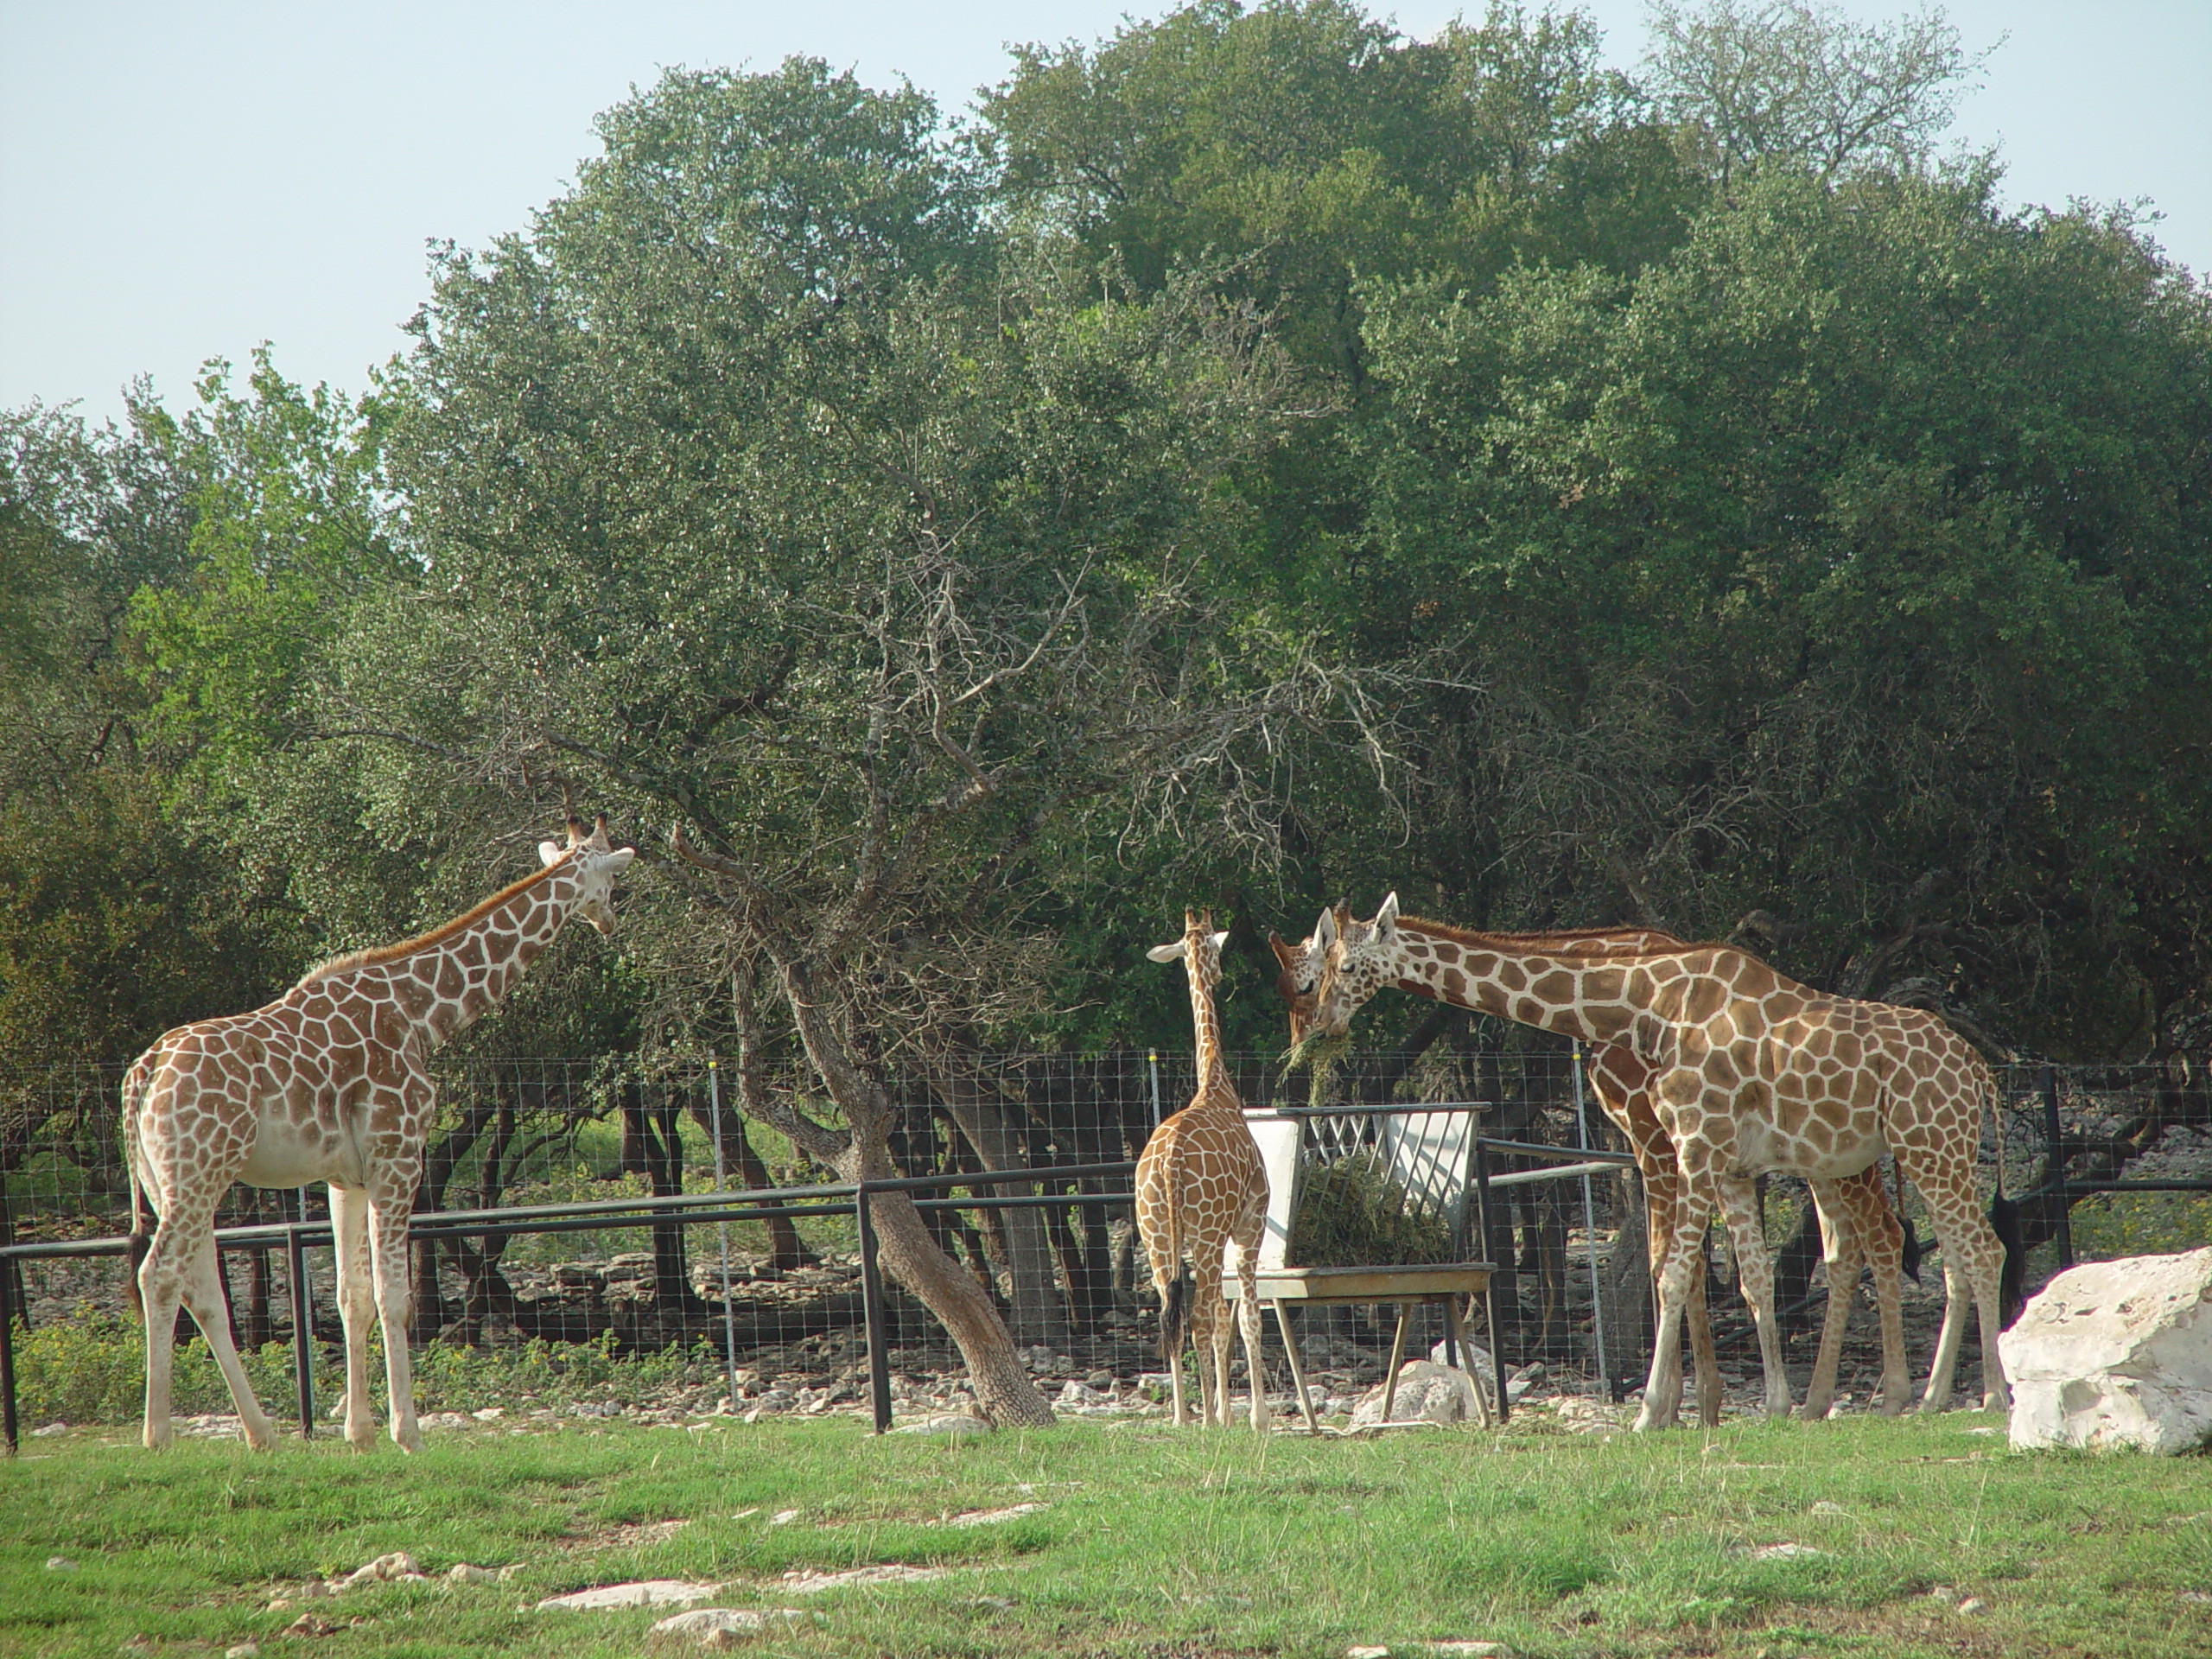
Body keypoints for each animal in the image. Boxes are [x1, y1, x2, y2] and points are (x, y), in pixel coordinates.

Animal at [126, 823, 637, 1451]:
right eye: (613, 879)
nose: (612, 920)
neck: (421, 1014)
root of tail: (142, 1074)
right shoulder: (400, 1157)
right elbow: (395, 1298)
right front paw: (407, 1431)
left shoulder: (346, 1178)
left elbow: (353, 1297)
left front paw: (360, 1432)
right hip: (200, 1170)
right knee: (159, 1275)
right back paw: (157, 1436)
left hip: (174, 1182)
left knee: (200, 1290)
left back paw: (261, 1434)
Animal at [1132, 915, 1274, 1433]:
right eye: (1217, 950)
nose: (1218, 974)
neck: (1215, 1084)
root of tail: (1170, 1160)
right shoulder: (1250, 1223)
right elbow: (1245, 1319)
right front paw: (1253, 1417)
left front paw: (1222, 1411)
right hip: (1209, 1235)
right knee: (1200, 1317)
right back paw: (1213, 1421)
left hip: (1156, 1235)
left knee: (1169, 1317)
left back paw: (1181, 1418)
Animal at [1300, 902, 2017, 1424]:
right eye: (1322, 964)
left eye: (1345, 966)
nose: (1319, 1025)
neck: (1647, 1004)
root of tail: (1979, 1068)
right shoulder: (1726, 1164)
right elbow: (1753, 1279)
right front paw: (1774, 1407)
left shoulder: (1689, 1147)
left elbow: (1671, 1276)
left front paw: (1653, 1412)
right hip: (1916, 1154)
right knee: (1934, 1255)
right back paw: (1923, 1398)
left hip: (1929, 1144)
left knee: (1978, 1250)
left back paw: (1987, 1396)